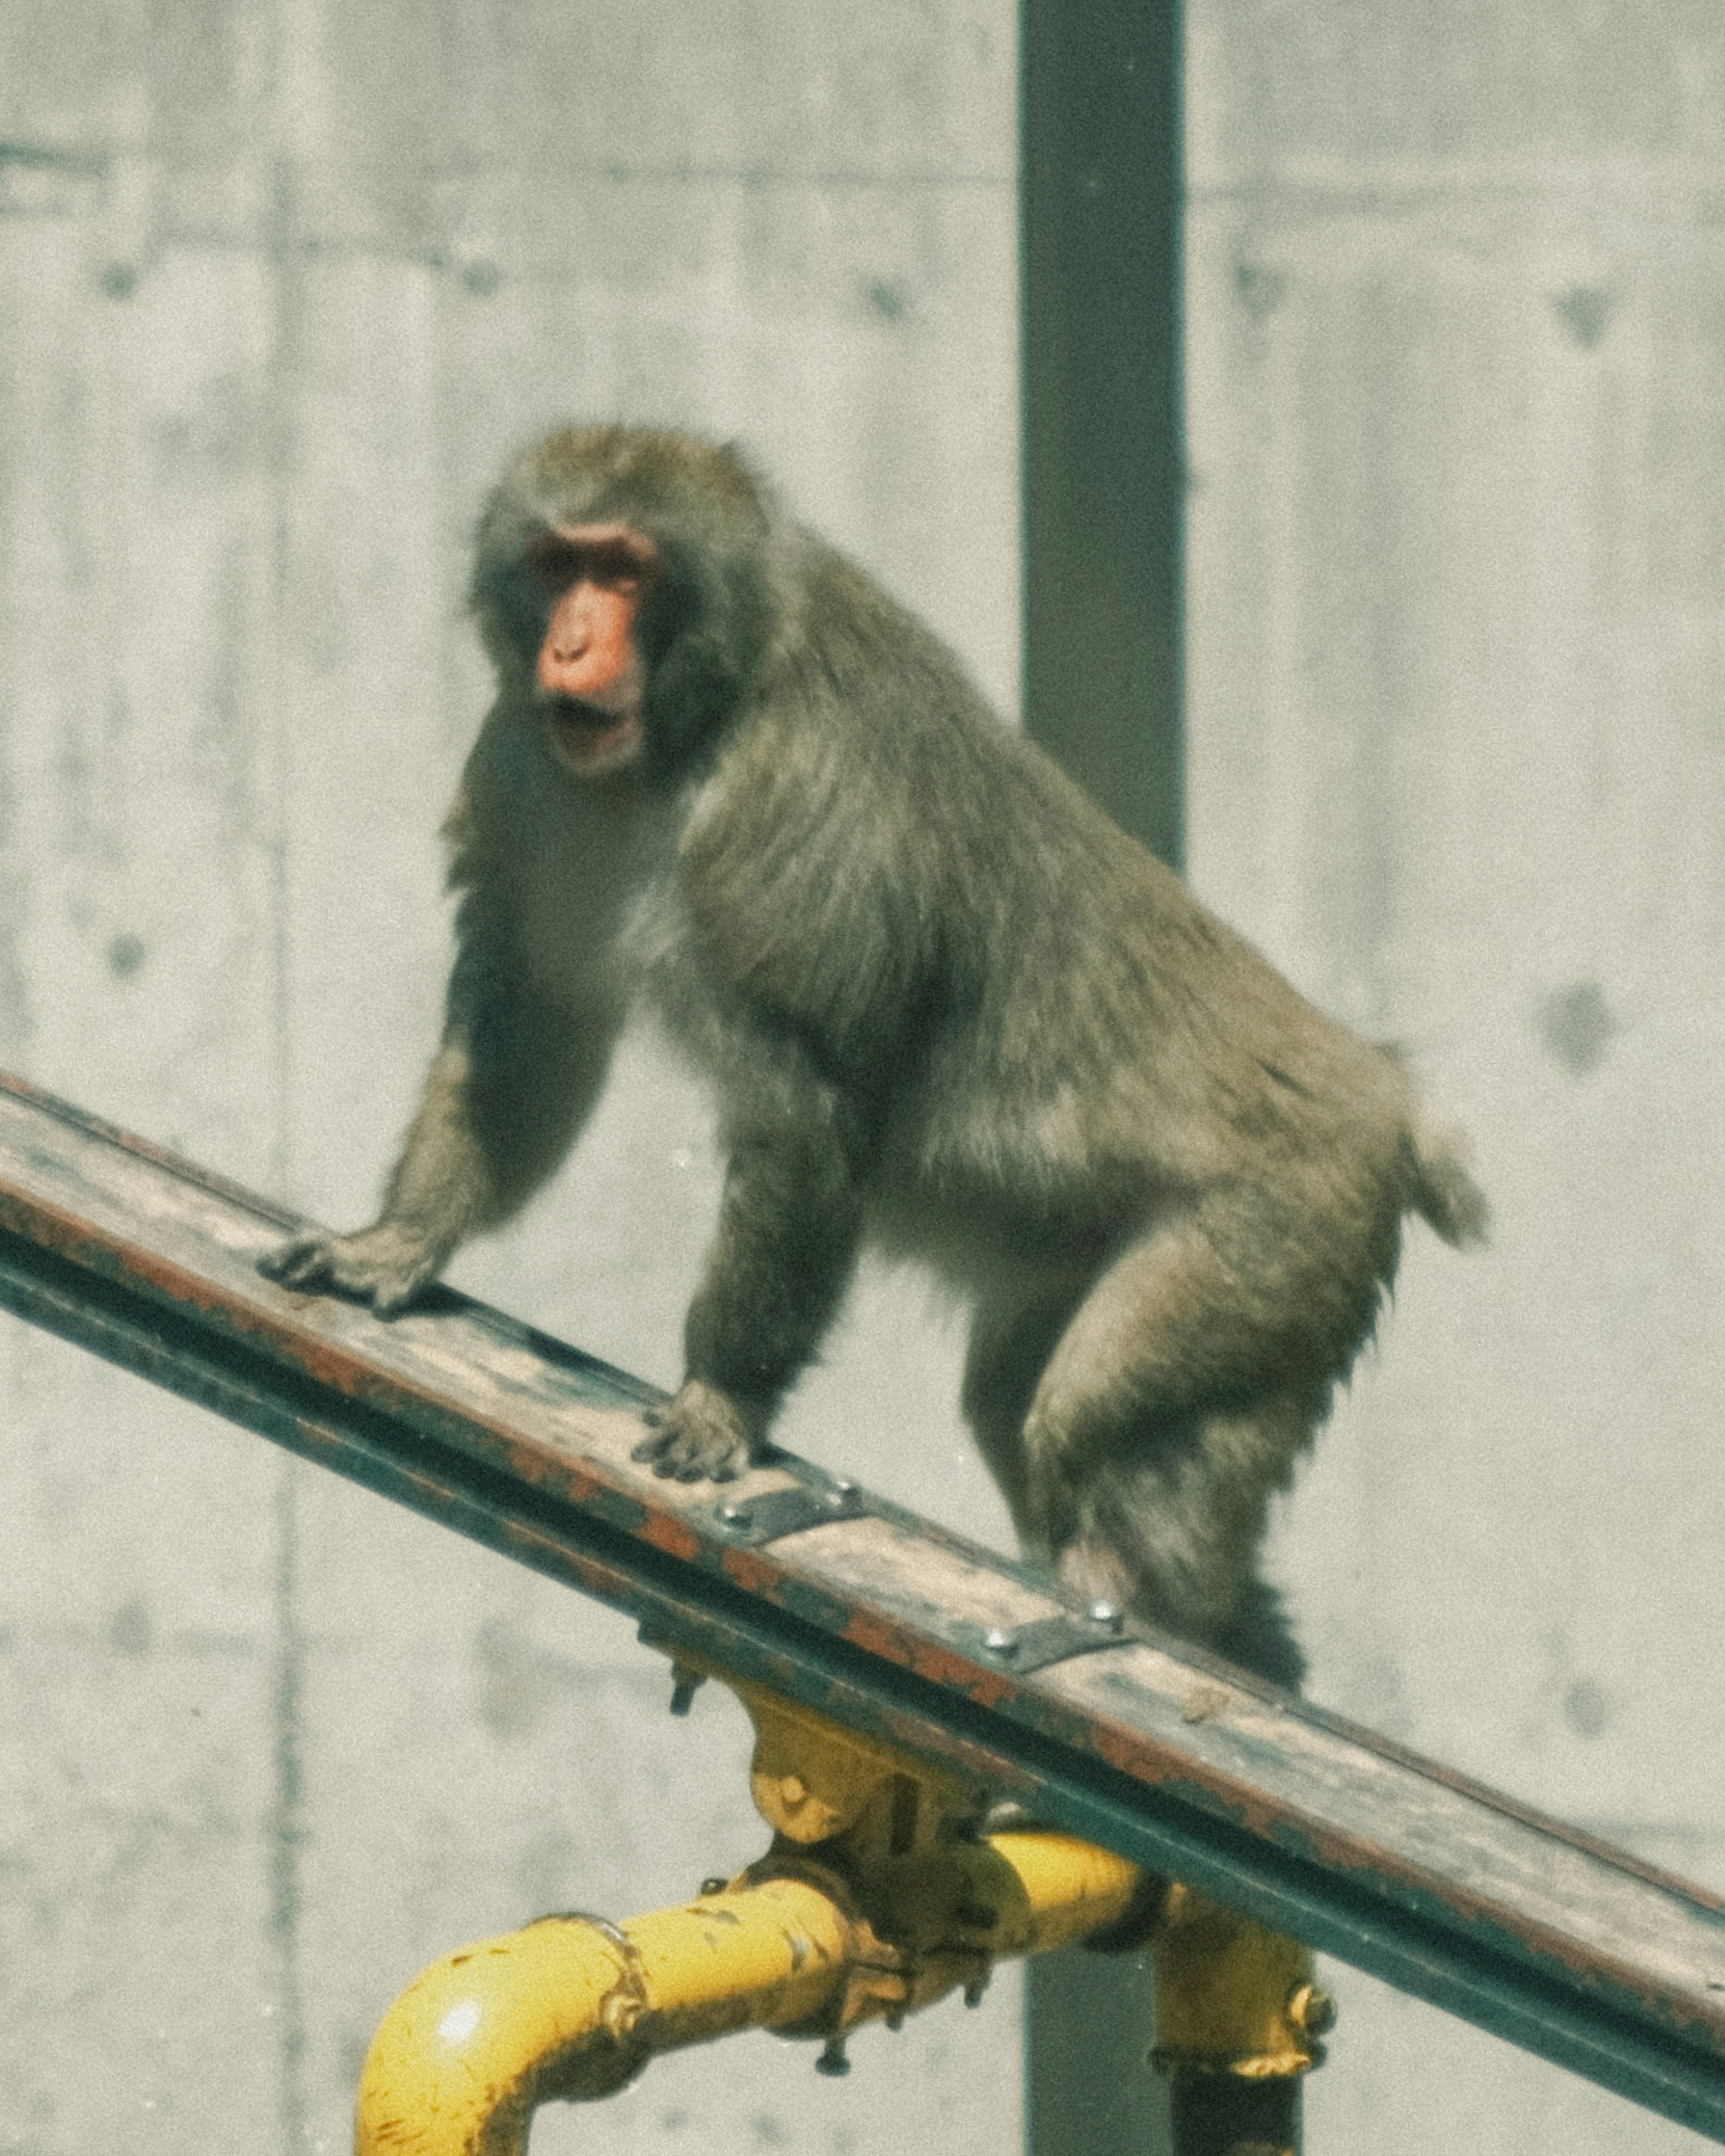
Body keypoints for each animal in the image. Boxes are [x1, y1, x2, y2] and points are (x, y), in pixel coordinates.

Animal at [257, 420, 1483, 1690]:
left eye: (627, 572)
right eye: (558, 564)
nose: (573, 641)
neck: (701, 714)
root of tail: (1391, 1100)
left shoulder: (802, 814)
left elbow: (805, 1111)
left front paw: (722, 1393)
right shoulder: (527, 763)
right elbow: (530, 1021)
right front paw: (400, 1237)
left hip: (1271, 1238)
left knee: (1091, 1412)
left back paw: (1127, 1604)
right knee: (1009, 1402)